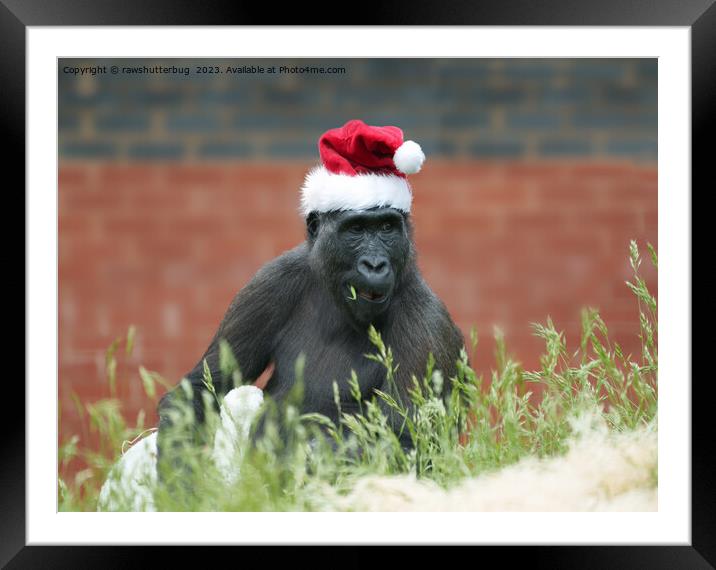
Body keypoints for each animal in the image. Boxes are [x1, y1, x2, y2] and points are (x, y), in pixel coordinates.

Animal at [157, 118, 464, 474]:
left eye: (387, 228)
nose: (375, 264)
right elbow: (198, 391)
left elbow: (407, 444)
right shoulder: (270, 283)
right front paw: (179, 475)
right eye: (357, 229)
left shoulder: (426, 324)